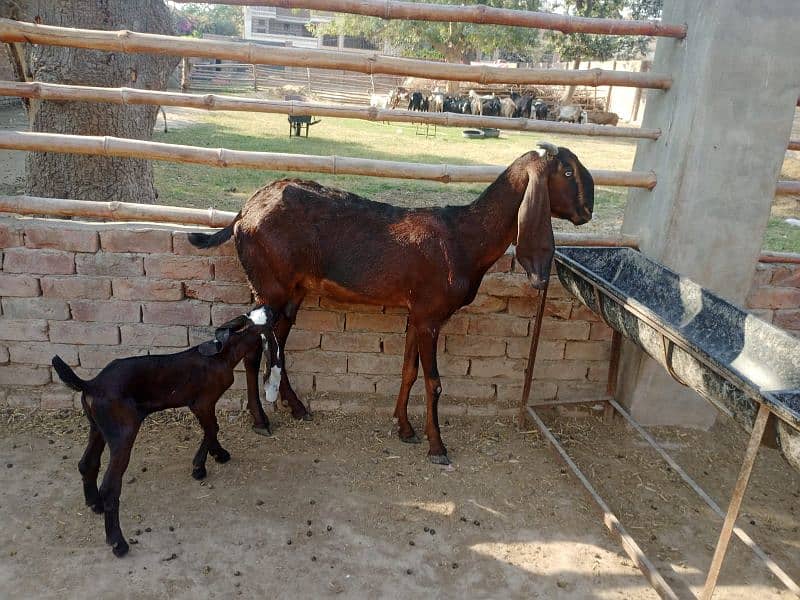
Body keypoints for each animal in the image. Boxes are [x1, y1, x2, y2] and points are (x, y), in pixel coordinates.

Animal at [189, 144, 592, 464]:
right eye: (567, 171)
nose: (587, 212)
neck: (463, 238)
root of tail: (244, 212)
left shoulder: (417, 314)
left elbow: (408, 371)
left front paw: (404, 428)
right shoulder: (430, 316)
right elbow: (433, 382)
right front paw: (437, 447)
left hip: (292, 293)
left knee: (279, 348)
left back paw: (298, 408)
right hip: (268, 288)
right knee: (254, 351)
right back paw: (261, 420)